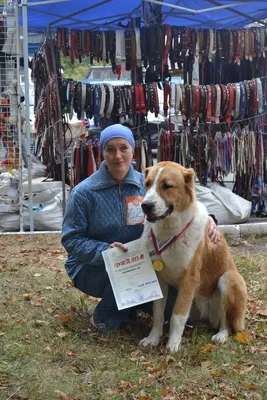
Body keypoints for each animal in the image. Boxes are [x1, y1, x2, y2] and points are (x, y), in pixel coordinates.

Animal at [139, 161, 248, 352]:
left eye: (166, 186)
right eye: (147, 184)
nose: (145, 206)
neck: (169, 233)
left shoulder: (188, 280)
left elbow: (177, 315)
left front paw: (172, 346)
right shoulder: (159, 279)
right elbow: (158, 314)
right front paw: (153, 339)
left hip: (228, 279)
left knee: (226, 323)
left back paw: (221, 335)